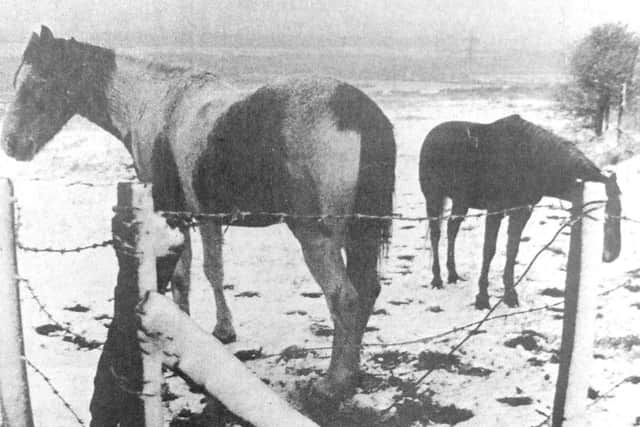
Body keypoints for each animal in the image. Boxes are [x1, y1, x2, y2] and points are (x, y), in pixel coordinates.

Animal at [1, 26, 396, 406]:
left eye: (39, 83)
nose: (12, 144)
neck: (150, 103)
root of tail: (357, 113)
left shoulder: (173, 215)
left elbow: (182, 276)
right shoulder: (206, 216)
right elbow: (213, 271)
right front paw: (222, 330)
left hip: (317, 237)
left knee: (344, 298)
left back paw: (334, 384)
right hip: (357, 233)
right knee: (367, 289)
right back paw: (352, 374)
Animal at [419, 114, 621, 310]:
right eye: (605, 213)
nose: (612, 254)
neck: (528, 160)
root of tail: (432, 134)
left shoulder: (522, 212)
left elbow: (512, 250)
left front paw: (510, 296)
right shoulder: (495, 212)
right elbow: (489, 250)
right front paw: (482, 298)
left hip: (461, 202)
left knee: (452, 229)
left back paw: (453, 275)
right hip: (434, 198)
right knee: (436, 234)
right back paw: (437, 279)